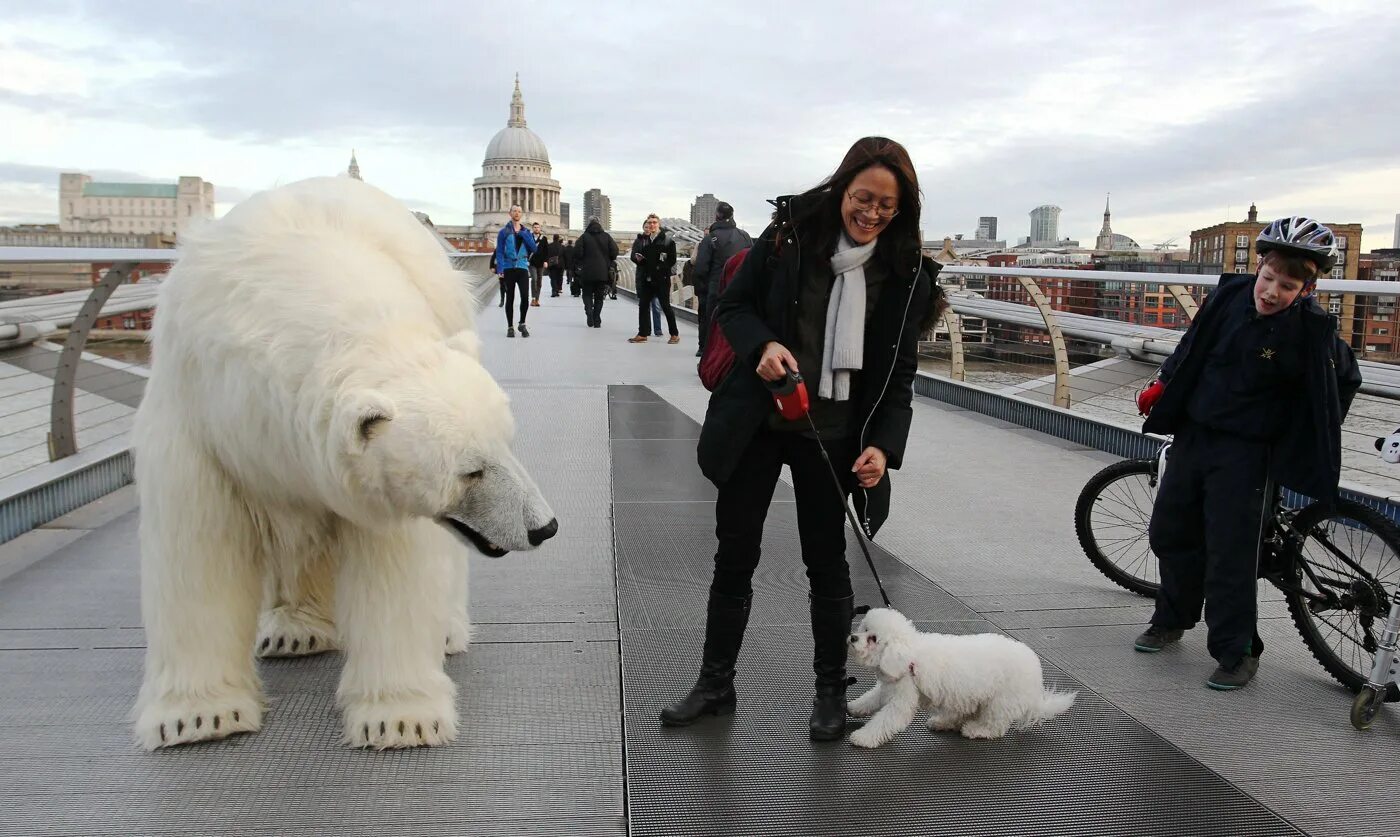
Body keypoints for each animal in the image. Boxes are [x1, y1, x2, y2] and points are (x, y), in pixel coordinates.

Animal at [131, 177, 554, 755]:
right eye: (471, 471)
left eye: (506, 443)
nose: (544, 527)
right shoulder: (200, 420)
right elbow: (198, 548)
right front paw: (198, 717)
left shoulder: (379, 483)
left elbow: (394, 564)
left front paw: (401, 719)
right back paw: (293, 629)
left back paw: (441, 629)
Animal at [840, 607, 1080, 750]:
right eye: (864, 629)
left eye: (873, 638)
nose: (852, 638)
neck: (908, 655)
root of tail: (1036, 679)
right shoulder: (888, 688)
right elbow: (870, 699)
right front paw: (853, 708)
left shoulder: (901, 699)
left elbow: (885, 720)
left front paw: (863, 737)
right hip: (970, 696)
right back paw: (942, 722)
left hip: (999, 702)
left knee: (995, 726)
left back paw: (976, 730)